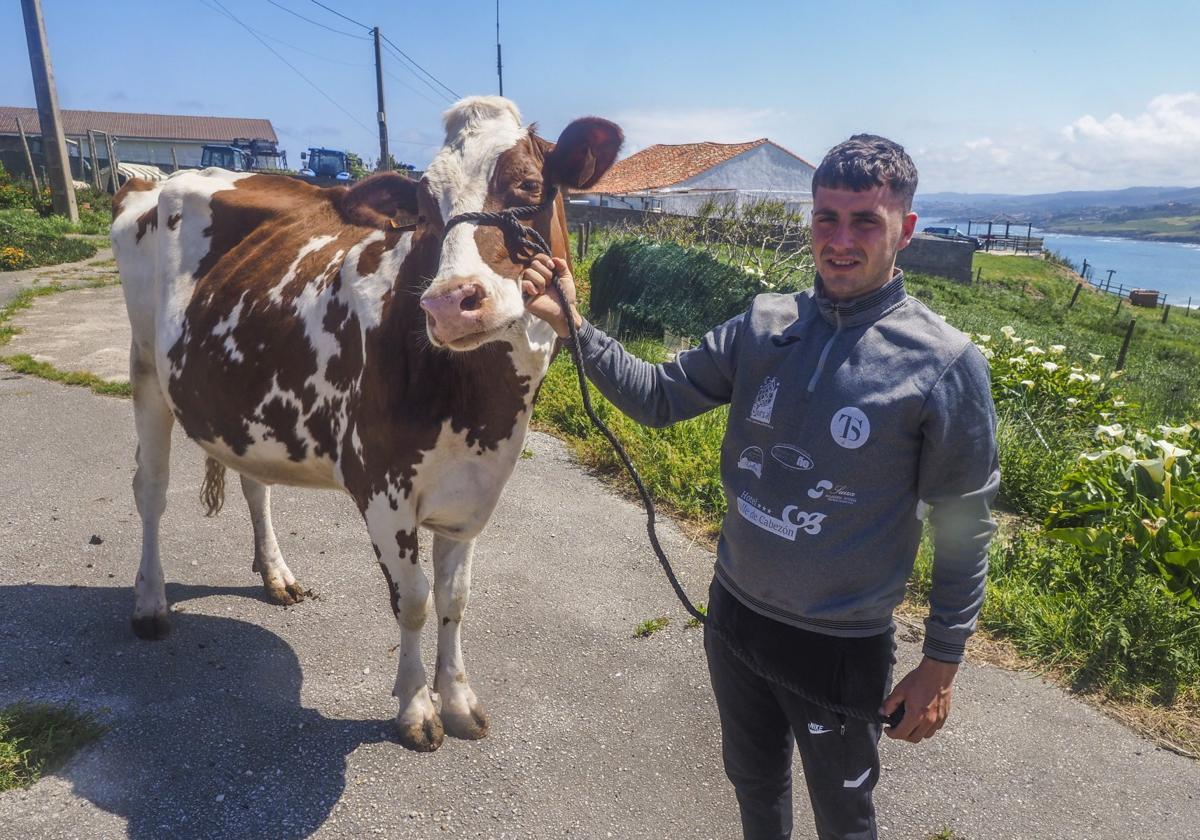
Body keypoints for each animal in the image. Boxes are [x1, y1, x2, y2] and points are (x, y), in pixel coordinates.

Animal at [109, 96, 624, 748]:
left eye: (528, 185)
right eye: (424, 209)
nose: (450, 303)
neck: (482, 405)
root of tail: (156, 181)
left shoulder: (473, 492)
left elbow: (455, 598)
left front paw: (459, 700)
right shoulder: (380, 484)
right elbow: (414, 600)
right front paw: (417, 709)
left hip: (242, 404)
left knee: (255, 485)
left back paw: (276, 575)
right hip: (147, 370)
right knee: (149, 491)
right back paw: (149, 604)